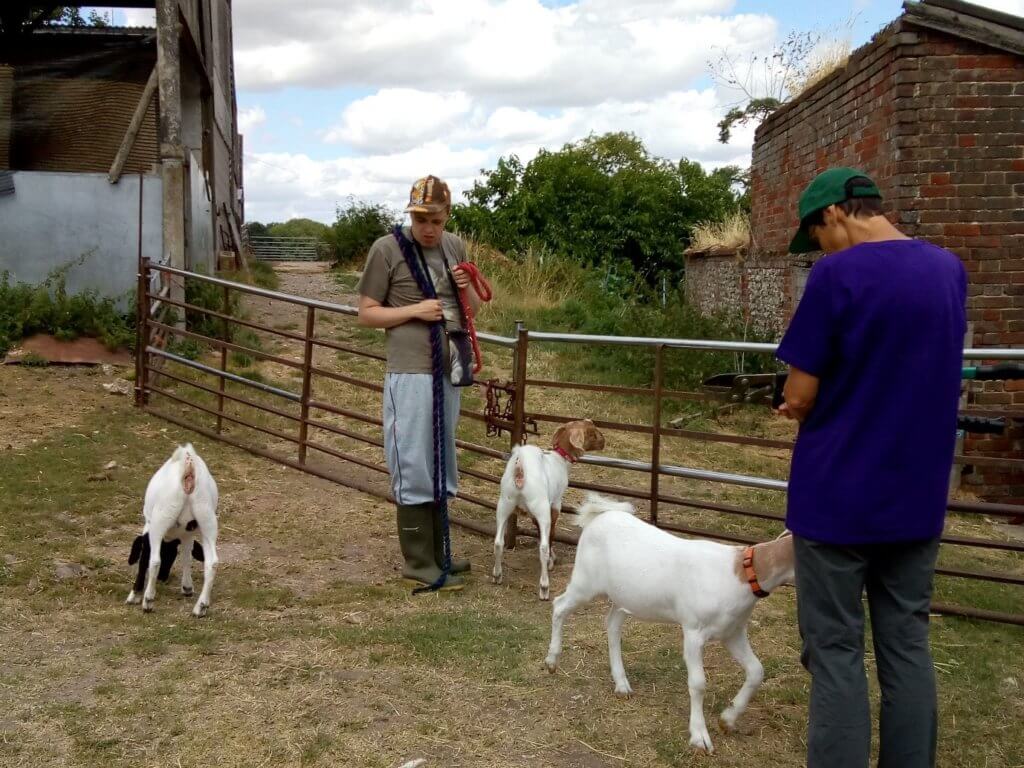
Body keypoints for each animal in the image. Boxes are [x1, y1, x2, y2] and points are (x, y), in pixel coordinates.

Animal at [126, 444, 219, 618]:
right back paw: (201, 606)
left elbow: (144, 558)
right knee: (212, 563)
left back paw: (148, 601)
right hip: (207, 519)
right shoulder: (188, 534)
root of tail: (188, 463)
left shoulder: (149, 528)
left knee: (155, 560)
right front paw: (187, 587)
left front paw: (134, 595)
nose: (163, 577)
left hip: (160, 519)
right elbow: (187, 556)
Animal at [491, 421, 602, 602]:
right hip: (540, 506)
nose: (603, 441)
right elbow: (551, 533)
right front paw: (551, 560)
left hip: (504, 504)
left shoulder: (532, 513)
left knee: (498, 542)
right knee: (542, 547)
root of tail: (520, 467)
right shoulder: (555, 503)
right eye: (592, 432)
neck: (560, 459)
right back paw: (544, 587)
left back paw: (497, 575)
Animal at [544, 495, 790, 753]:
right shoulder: (694, 631)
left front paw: (728, 720)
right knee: (559, 605)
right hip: (585, 582)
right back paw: (551, 661)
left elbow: (756, 671)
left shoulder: (732, 632)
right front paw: (700, 737)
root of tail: (602, 514)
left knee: (612, 623)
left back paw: (621, 684)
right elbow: (698, 683)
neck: (740, 573)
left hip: (625, 596)